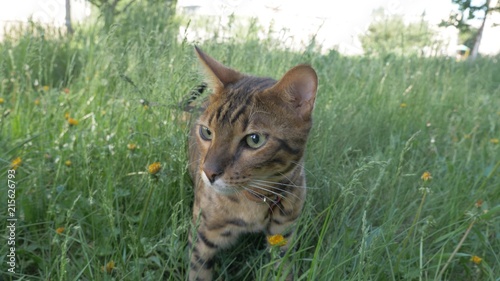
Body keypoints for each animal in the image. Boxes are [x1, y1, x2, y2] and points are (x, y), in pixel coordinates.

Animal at [188, 47, 316, 278]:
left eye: (254, 140)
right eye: (207, 132)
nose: (208, 173)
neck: (256, 198)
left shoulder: (283, 236)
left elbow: (283, 271)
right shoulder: (201, 238)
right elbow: (198, 272)